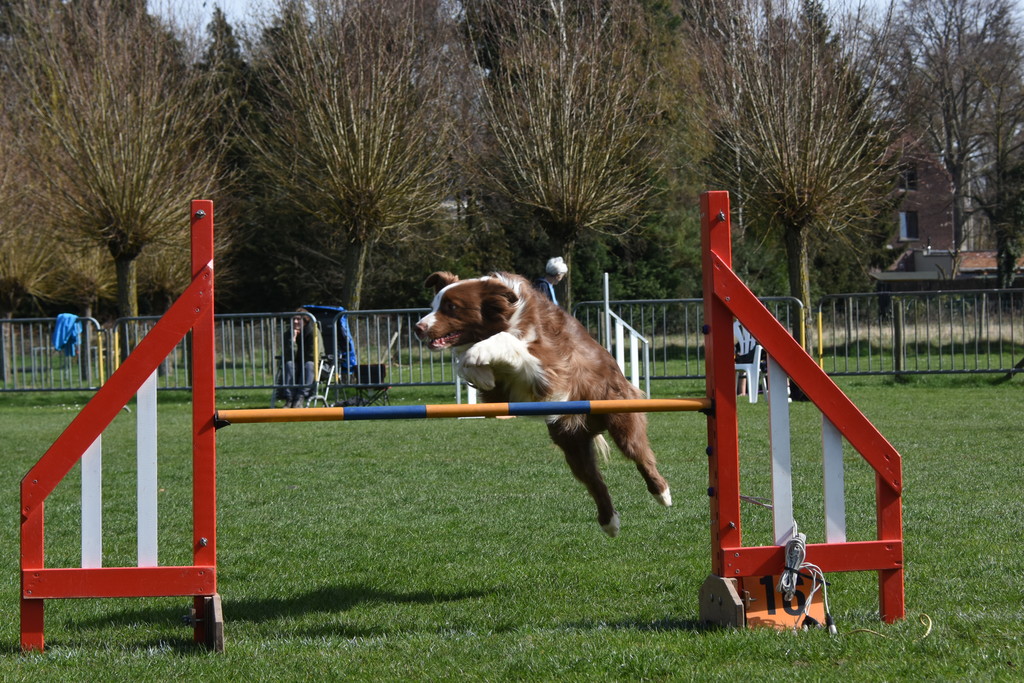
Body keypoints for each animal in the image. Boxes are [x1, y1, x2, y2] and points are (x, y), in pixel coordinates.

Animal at [414, 271, 671, 537]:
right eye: (434, 305)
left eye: (451, 307)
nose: (418, 328)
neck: (505, 316)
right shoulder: (499, 395)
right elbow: (469, 368)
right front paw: (479, 371)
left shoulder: (549, 363)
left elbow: (503, 342)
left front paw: (477, 353)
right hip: (571, 444)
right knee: (594, 480)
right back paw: (609, 522)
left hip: (621, 419)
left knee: (640, 456)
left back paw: (663, 493)